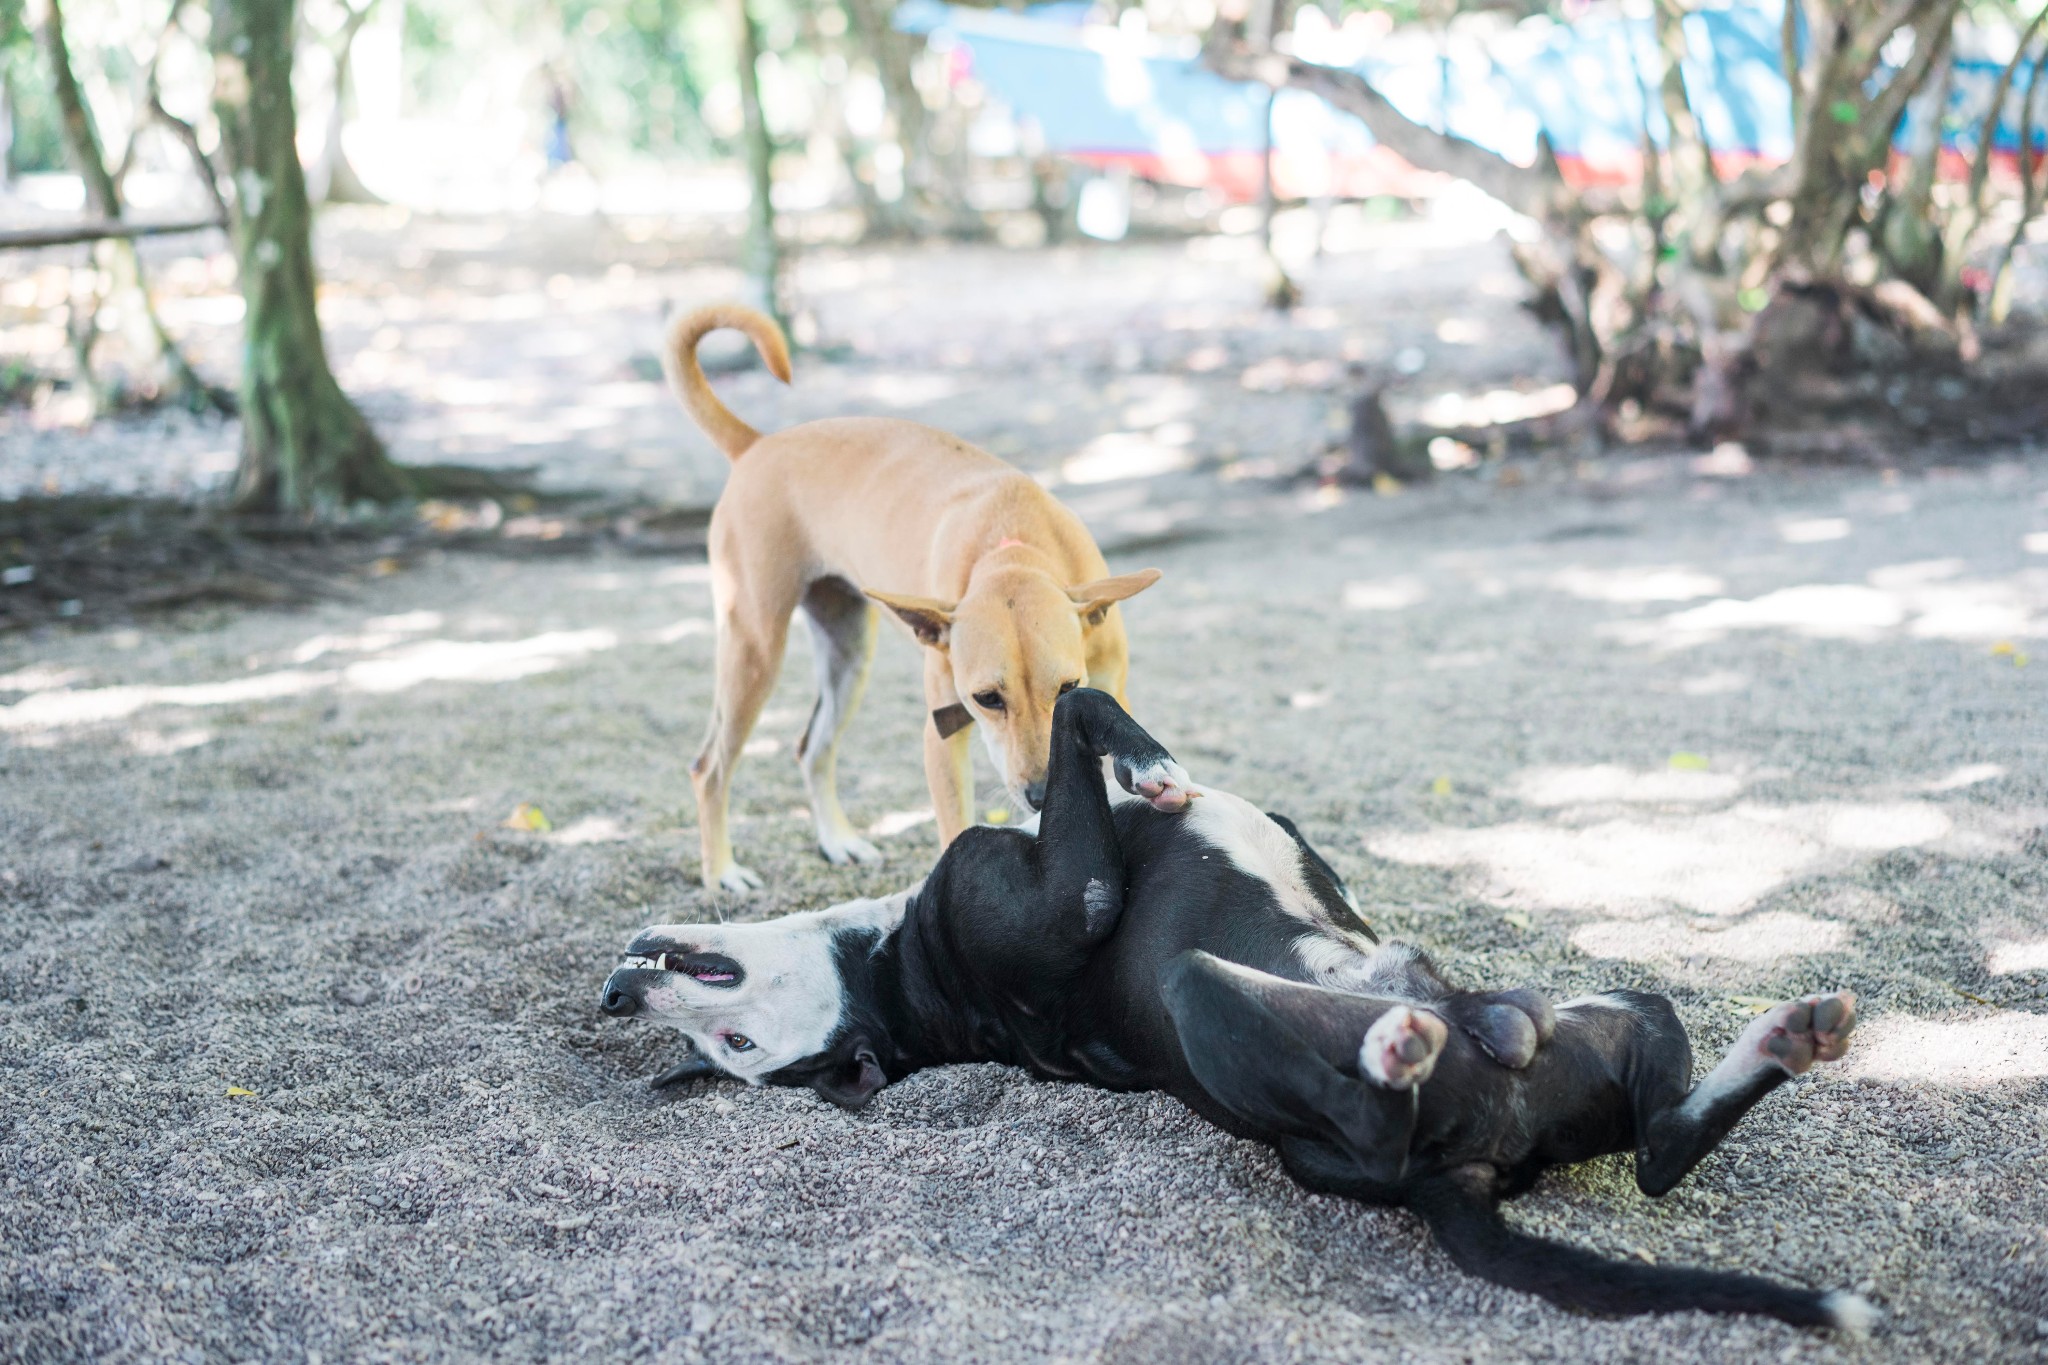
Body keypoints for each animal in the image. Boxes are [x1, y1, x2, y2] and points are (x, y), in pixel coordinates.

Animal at [598, 695, 1875, 1334]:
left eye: (732, 1045)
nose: (623, 990)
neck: (902, 975)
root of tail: (1475, 1164)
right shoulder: (1070, 893)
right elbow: (1075, 703)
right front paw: (1147, 758)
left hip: (1628, 1006)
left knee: (1658, 1151)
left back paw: (1779, 1036)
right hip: (1212, 1002)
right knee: (1392, 1117)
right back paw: (1402, 1041)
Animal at [663, 304, 1163, 892]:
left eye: (1069, 688)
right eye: (987, 699)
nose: (1041, 794)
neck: (1013, 546)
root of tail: (758, 445)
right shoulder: (943, 736)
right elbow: (955, 828)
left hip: (848, 654)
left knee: (812, 749)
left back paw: (838, 840)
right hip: (754, 649)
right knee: (709, 768)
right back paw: (721, 871)